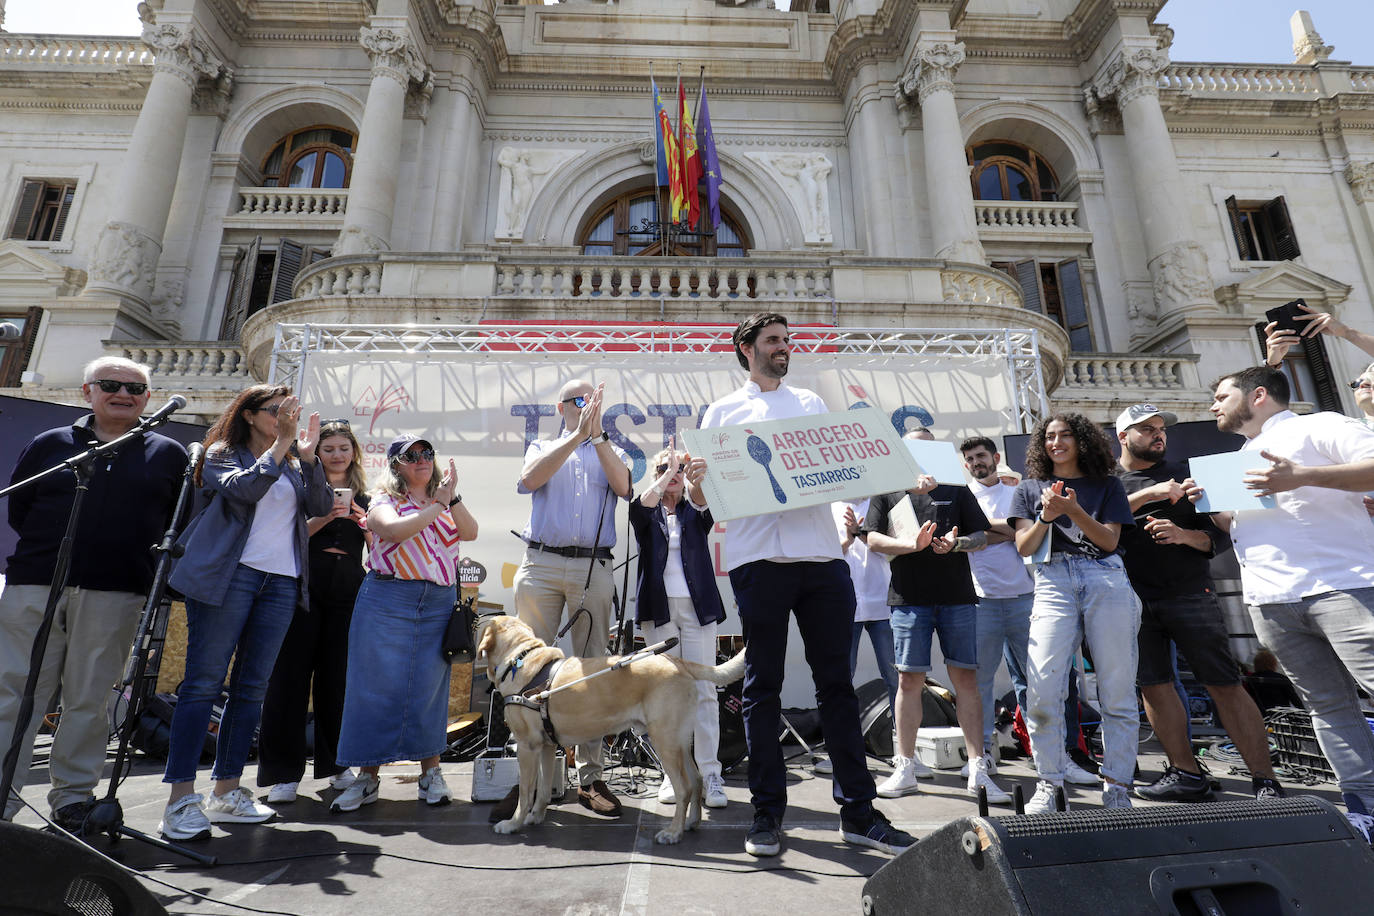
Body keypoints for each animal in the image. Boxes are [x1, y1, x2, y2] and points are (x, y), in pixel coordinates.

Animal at [478, 615, 747, 845]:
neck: (519, 658)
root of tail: (678, 662)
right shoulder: (546, 746)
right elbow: (542, 790)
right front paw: (535, 816)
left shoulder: (527, 746)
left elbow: (525, 792)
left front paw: (513, 823)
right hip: (678, 742)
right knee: (697, 779)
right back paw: (691, 823)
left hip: (664, 741)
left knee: (684, 788)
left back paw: (673, 833)